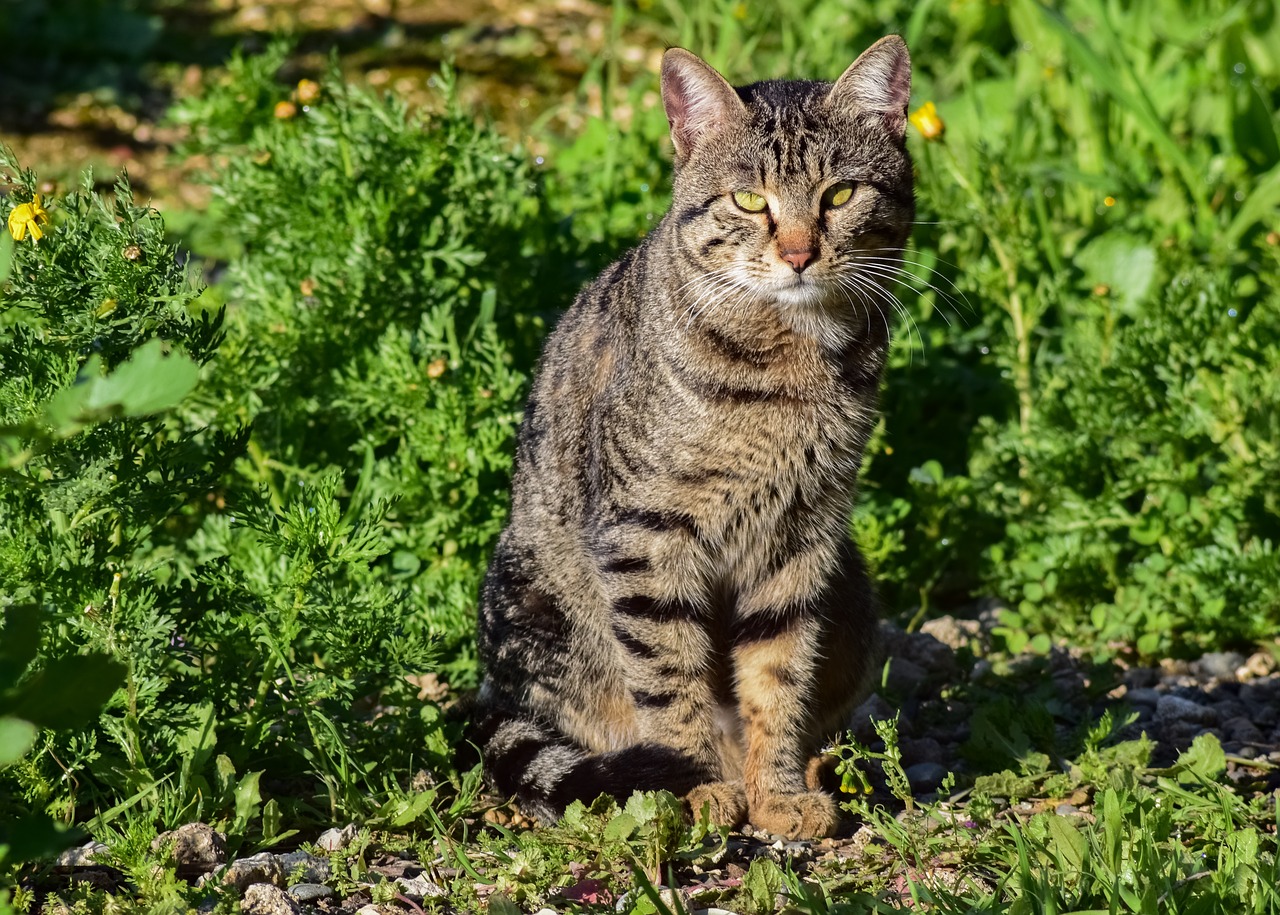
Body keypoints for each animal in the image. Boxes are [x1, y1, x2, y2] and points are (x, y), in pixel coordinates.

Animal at [471, 35, 911, 839]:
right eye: (749, 200)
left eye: (839, 195)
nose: (798, 253)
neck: (791, 365)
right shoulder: (646, 536)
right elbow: (669, 675)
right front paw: (700, 785)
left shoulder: (804, 536)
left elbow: (779, 674)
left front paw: (775, 791)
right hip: (532, 598)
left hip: (856, 598)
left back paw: (817, 767)